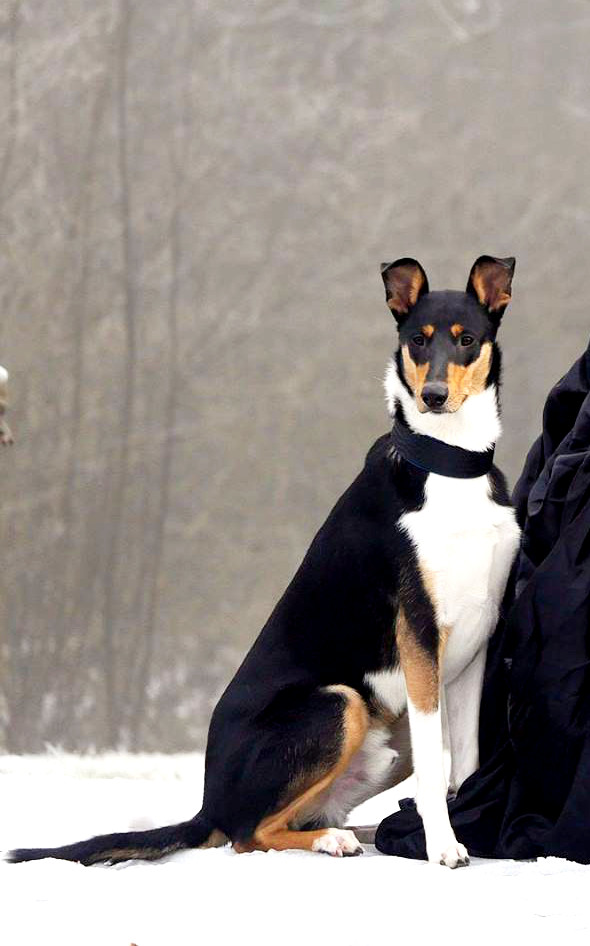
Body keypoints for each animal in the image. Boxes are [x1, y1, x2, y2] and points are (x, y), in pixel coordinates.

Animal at [9, 254, 524, 868]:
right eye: (417, 341)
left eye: (466, 339)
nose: (436, 396)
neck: (449, 465)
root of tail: (207, 802)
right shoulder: (420, 635)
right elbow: (434, 765)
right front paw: (444, 846)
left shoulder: (473, 644)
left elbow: (464, 761)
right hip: (340, 702)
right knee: (247, 832)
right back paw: (334, 841)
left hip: (383, 728)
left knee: (296, 817)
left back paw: (359, 831)